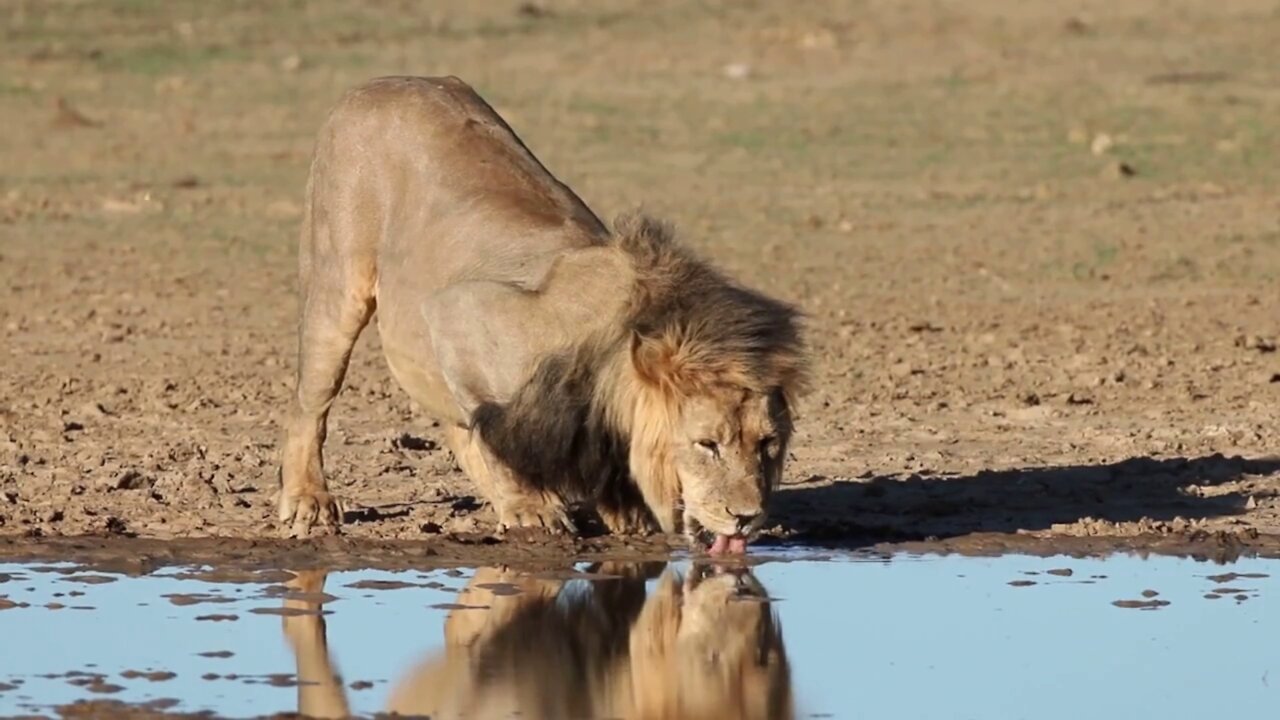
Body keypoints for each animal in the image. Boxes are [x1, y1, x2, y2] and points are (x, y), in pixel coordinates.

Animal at [277, 75, 808, 550]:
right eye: (707, 444)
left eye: (767, 444)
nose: (747, 517)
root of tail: (381, 82)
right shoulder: (457, 313)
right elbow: (494, 439)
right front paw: (533, 509)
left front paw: (625, 512)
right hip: (336, 283)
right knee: (311, 404)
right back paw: (308, 500)